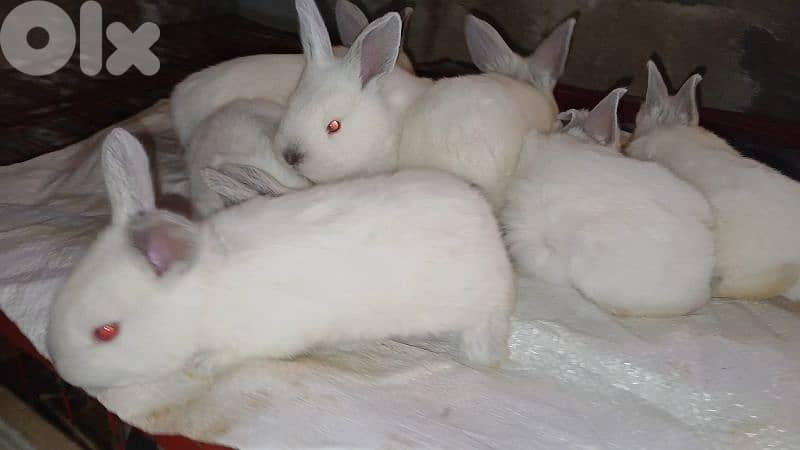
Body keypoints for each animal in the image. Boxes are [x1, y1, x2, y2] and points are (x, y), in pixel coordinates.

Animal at [46, 128, 515, 389]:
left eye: (106, 332)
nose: (63, 371)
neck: (204, 296)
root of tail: (487, 225)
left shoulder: (262, 337)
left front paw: (201, 367)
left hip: (475, 305)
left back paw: (479, 357)